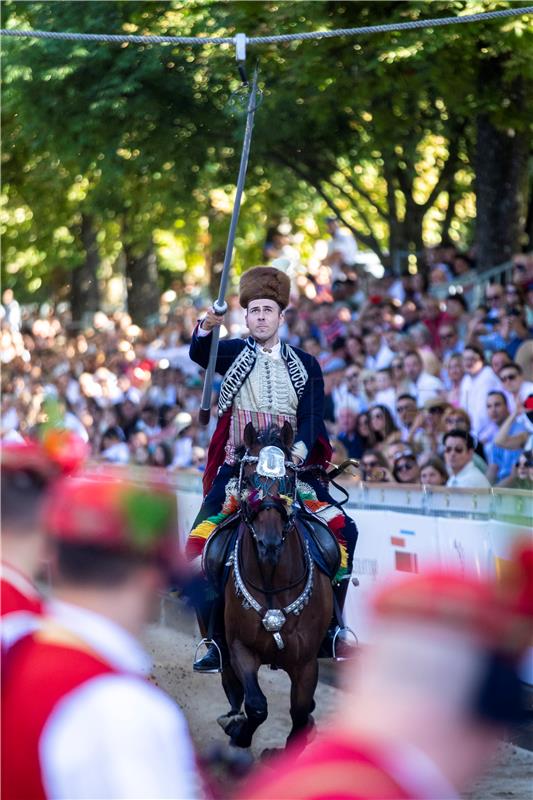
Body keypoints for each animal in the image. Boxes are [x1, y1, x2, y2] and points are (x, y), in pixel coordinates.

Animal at [214, 422, 330, 752]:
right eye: (250, 480)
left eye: (289, 481)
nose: (269, 544)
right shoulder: (240, 648)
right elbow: (256, 705)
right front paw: (240, 733)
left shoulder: (307, 662)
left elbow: (300, 713)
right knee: (233, 688)